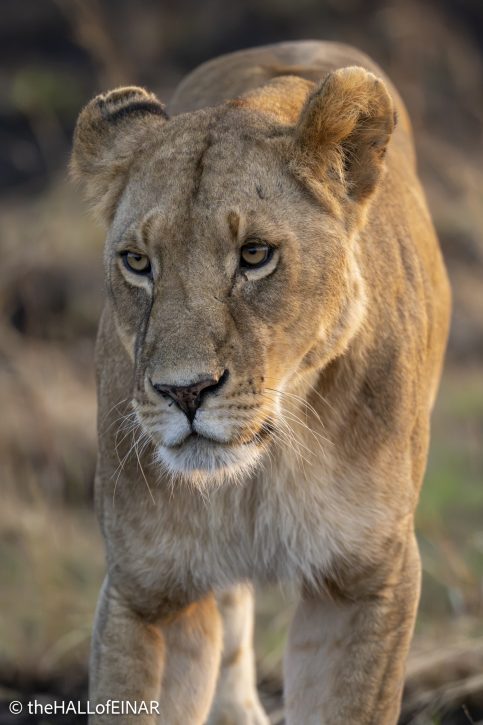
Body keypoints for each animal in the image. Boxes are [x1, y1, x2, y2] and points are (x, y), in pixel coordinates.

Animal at [71, 41, 450, 724]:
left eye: (254, 255)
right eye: (137, 263)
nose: (184, 392)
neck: (260, 475)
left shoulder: (366, 582)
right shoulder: (148, 590)